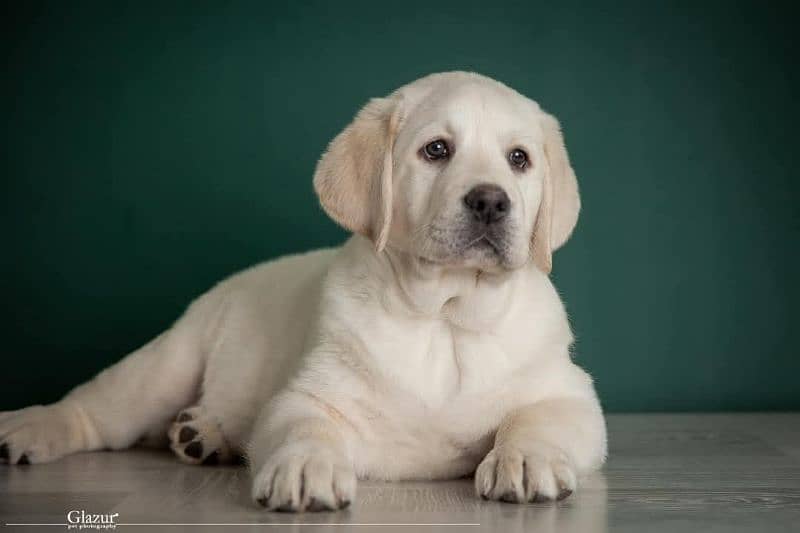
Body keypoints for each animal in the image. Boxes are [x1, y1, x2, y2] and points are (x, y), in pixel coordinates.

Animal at [0, 71, 608, 512]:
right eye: (436, 150)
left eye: (519, 159)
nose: (490, 201)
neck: (444, 316)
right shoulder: (310, 393)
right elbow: (304, 426)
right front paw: (304, 468)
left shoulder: (568, 393)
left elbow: (538, 418)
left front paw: (524, 459)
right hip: (168, 363)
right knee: (97, 408)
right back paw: (29, 427)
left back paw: (203, 434)